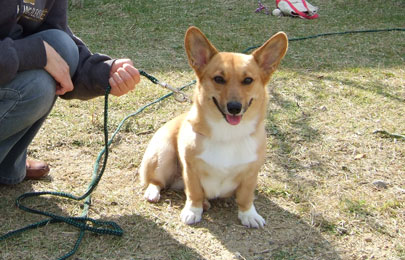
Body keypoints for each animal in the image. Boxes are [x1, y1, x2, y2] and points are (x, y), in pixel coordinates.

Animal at [139, 25, 288, 228]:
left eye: (248, 80)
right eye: (218, 79)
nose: (234, 107)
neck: (228, 134)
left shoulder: (250, 174)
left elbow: (246, 197)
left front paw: (249, 215)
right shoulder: (191, 170)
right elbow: (193, 193)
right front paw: (193, 211)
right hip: (164, 154)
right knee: (157, 181)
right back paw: (154, 192)